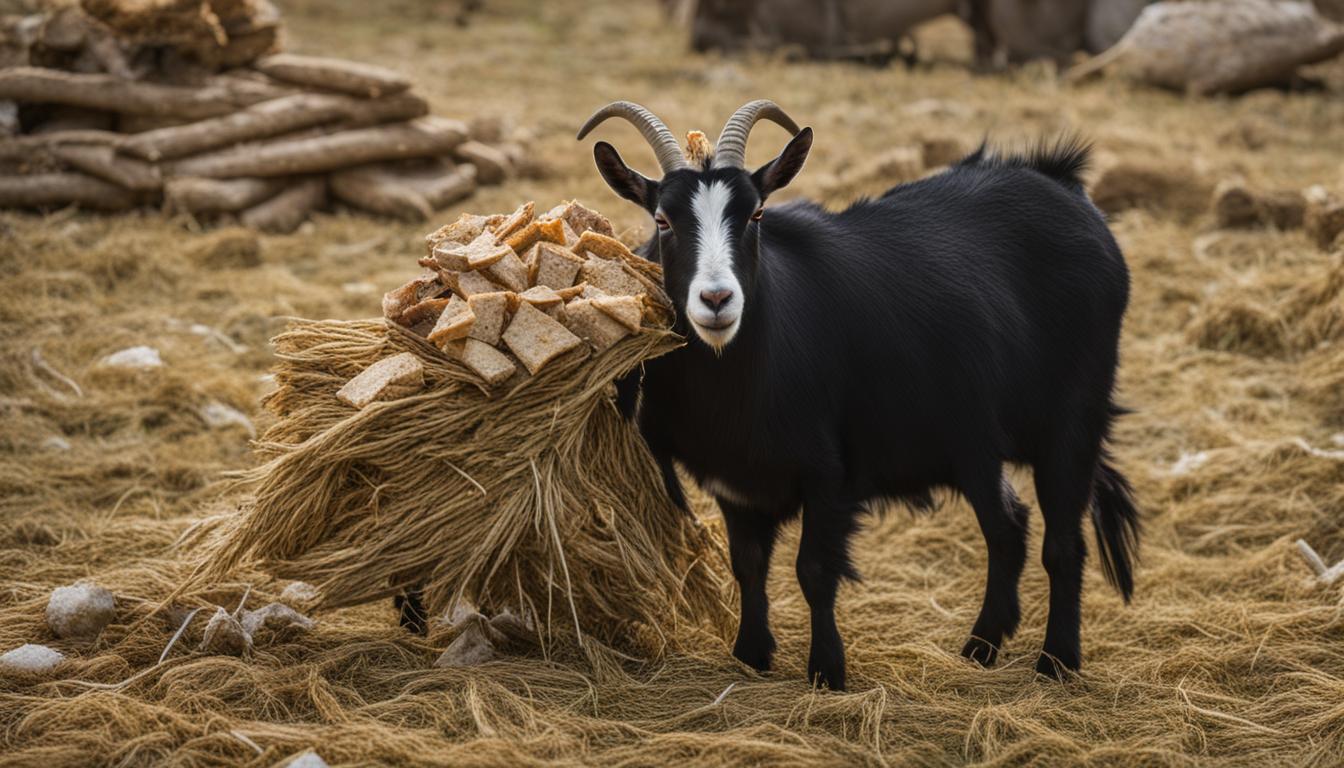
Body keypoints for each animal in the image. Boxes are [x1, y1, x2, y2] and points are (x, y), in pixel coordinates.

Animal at [578, 101, 1140, 690]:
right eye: (662, 220)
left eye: (756, 215)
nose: (715, 300)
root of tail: (1065, 186)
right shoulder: (734, 481)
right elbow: (748, 563)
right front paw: (751, 654)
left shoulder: (829, 471)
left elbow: (814, 570)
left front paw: (827, 670)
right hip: (974, 447)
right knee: (1008, 528)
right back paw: (980, 647)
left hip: (1072, 423)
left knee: (1063, 544)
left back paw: (1057, 661)